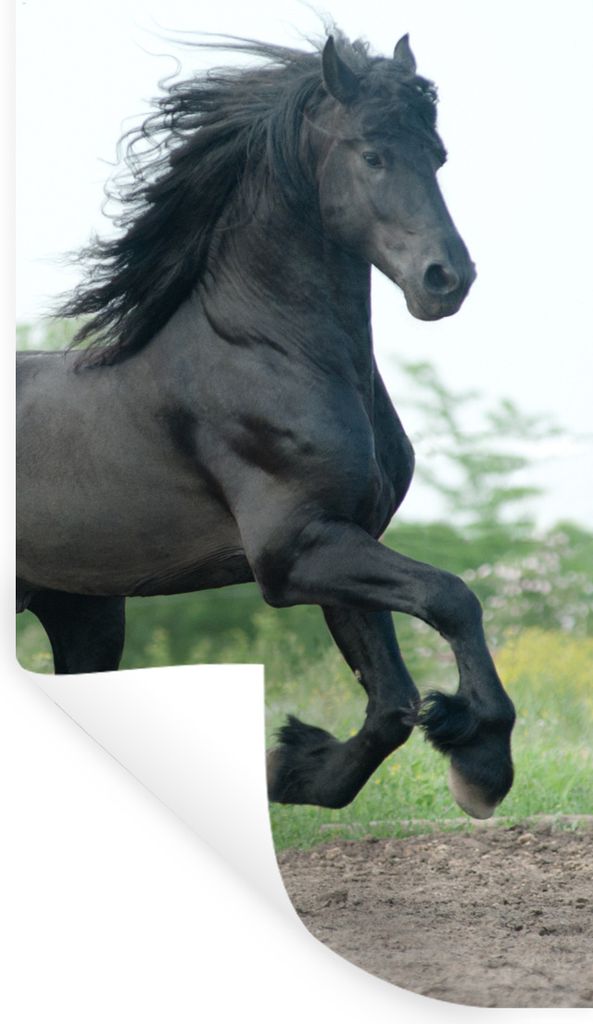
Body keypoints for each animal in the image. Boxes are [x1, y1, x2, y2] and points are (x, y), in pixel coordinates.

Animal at [16, 31, 515, 818]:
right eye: (372, 154)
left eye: (437, 155)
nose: (446, 279)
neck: (267, 352)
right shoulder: (292, 551)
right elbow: (451, 597)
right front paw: (482, 762)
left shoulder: (343, 538)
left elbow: (391, 704)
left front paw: (291, 771)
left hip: (85, 612)